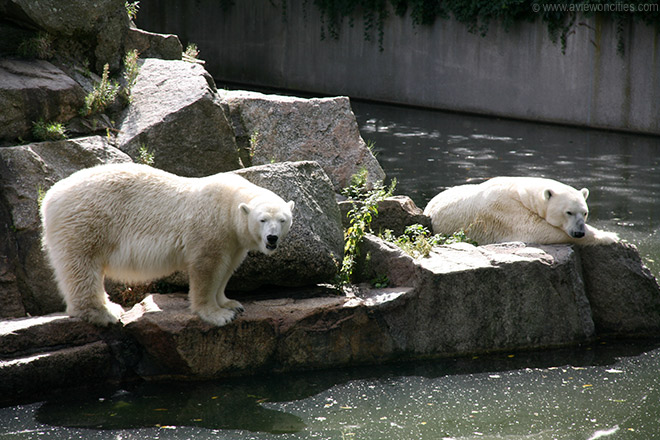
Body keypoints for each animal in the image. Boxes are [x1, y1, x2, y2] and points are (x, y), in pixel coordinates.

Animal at [40, 163, 295, 327]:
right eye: (262, 220)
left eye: (283, 220)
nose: (272, 238)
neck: (229, 204)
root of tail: (49, 198)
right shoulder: (210, 228)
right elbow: (207, 269)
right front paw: (217, 315)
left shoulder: (233, 241)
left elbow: (226, 269)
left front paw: (231, 304)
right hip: (87, 221)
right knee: (82, 266)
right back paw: (104, 313)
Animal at [423, 176, 619, 246]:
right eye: (568, 212)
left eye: (584, 213)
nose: (579, 232)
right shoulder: (504, 211)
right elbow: (535, 230)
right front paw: (610, 236)